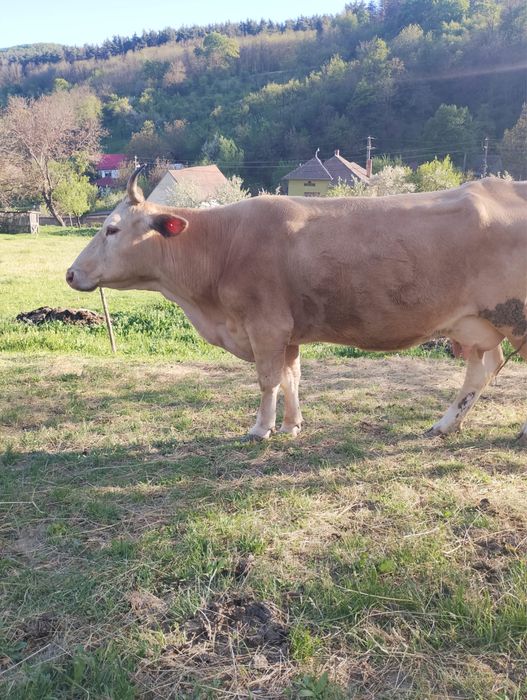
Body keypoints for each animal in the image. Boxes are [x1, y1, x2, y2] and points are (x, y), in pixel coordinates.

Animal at [67, 169, 527, 443]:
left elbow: (268, 379)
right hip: (477, 324)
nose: (70, 273)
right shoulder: (287, 332)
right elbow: (292, 377)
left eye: (112, 228)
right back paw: (446, 424)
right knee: (482, 370)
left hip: (516, 317)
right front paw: (292, 424)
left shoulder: (265, 325)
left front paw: (261, 428)